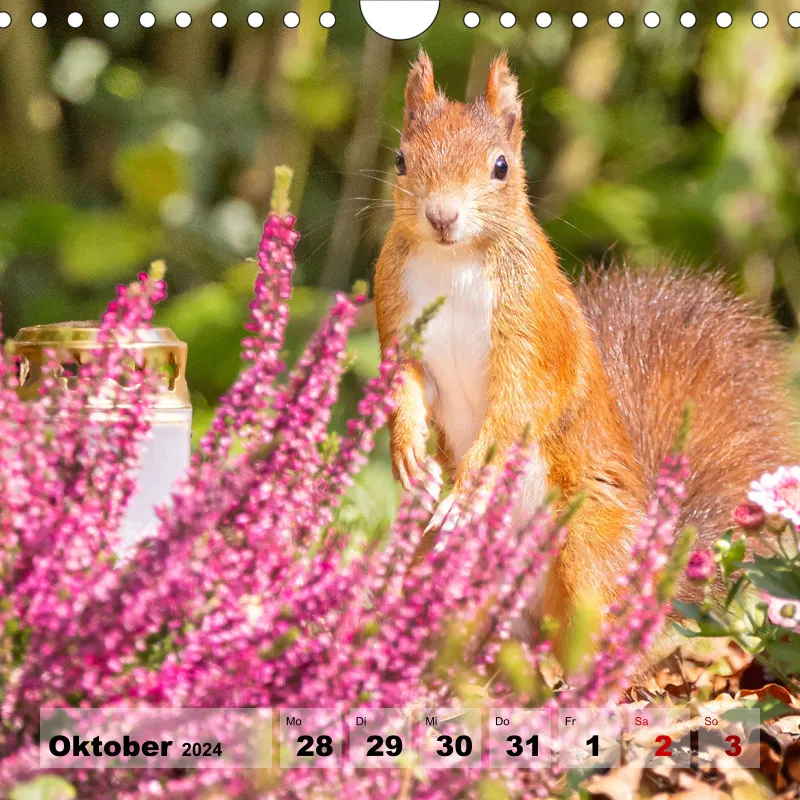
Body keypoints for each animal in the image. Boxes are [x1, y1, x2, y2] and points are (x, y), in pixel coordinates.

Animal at [373, 50, 797, 654]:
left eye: (501, 166)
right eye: (401, 160)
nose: (442, 216)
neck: (452, 262)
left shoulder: (532, 332)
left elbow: (517, 405)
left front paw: (471, 480)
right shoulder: (399, 321)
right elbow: (405, 383)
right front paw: (409, 454)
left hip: (590, 548)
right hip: (442, 566)